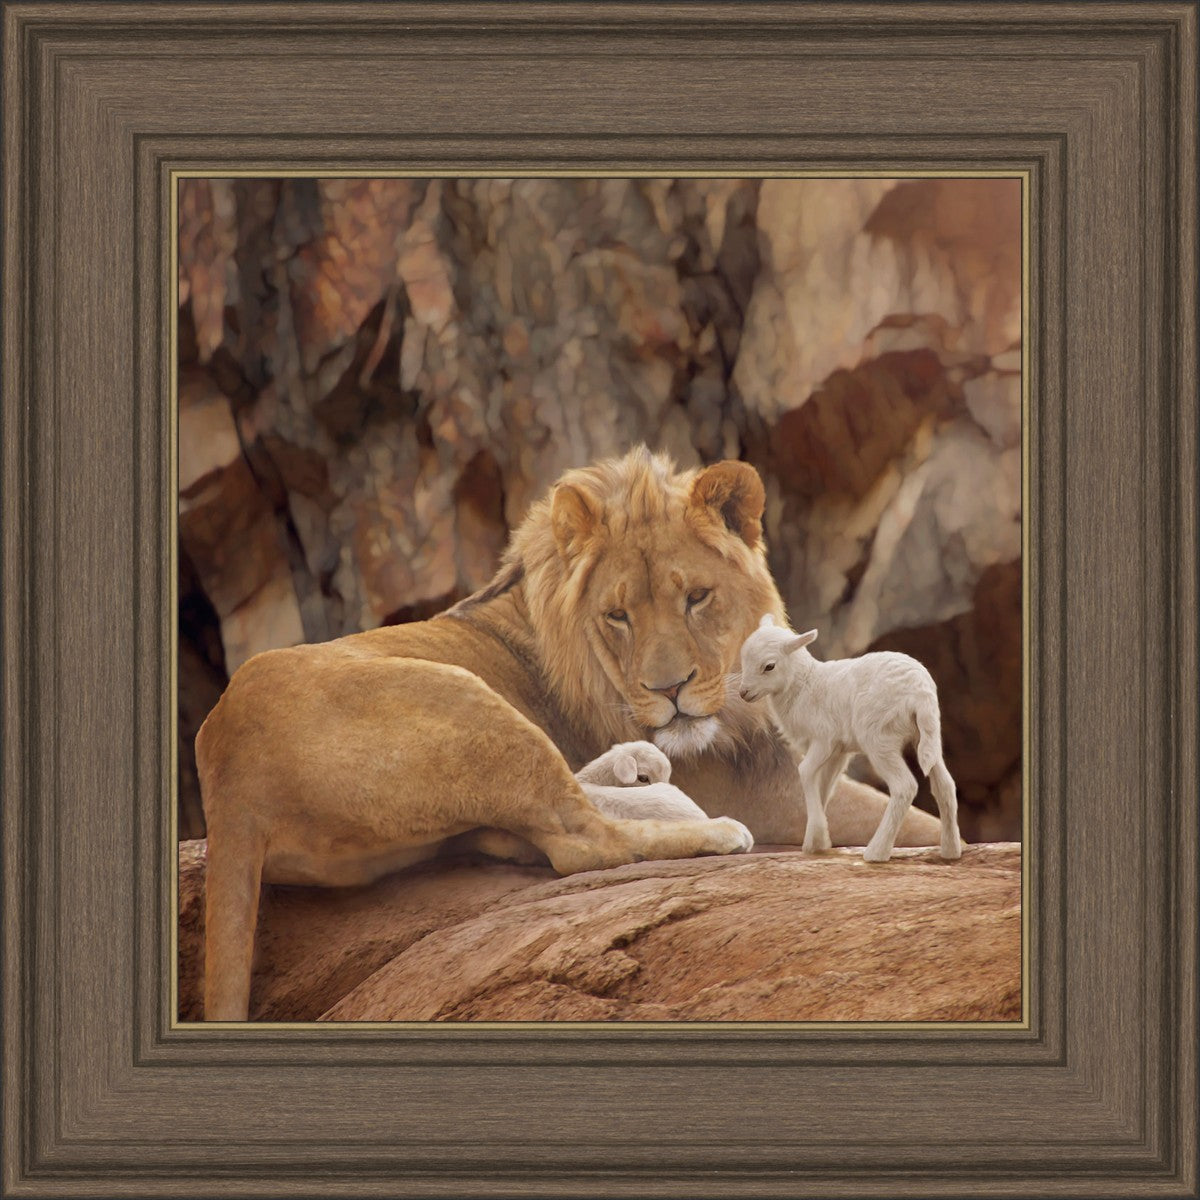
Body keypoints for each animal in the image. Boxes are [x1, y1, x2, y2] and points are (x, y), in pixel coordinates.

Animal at [738, 614, 963, 863]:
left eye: (769, 666)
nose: (743, 693)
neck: (804, 685)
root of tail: (920, 693)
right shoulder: (838, 751)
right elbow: (824, 786)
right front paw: (816, 841)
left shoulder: (824, 739)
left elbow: (805, 772)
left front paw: (817, 838)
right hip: (927, 735)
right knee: (945, 785)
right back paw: (950, 850)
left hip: (879, 737)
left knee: (904, 786)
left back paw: (876, 852)